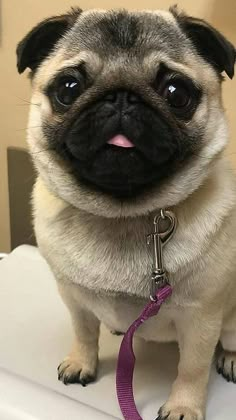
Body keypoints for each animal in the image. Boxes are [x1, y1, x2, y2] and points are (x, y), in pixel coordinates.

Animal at [16, 6, 236, 420]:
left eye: (176, 93)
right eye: (68, 88)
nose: (122, 97)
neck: (122, 215)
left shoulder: (201, 318)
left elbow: (192, 368)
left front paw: (183, 407)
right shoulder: (73, 298)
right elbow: (84, 332)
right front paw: (81, 363)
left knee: (228, 341)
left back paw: (230, 358)